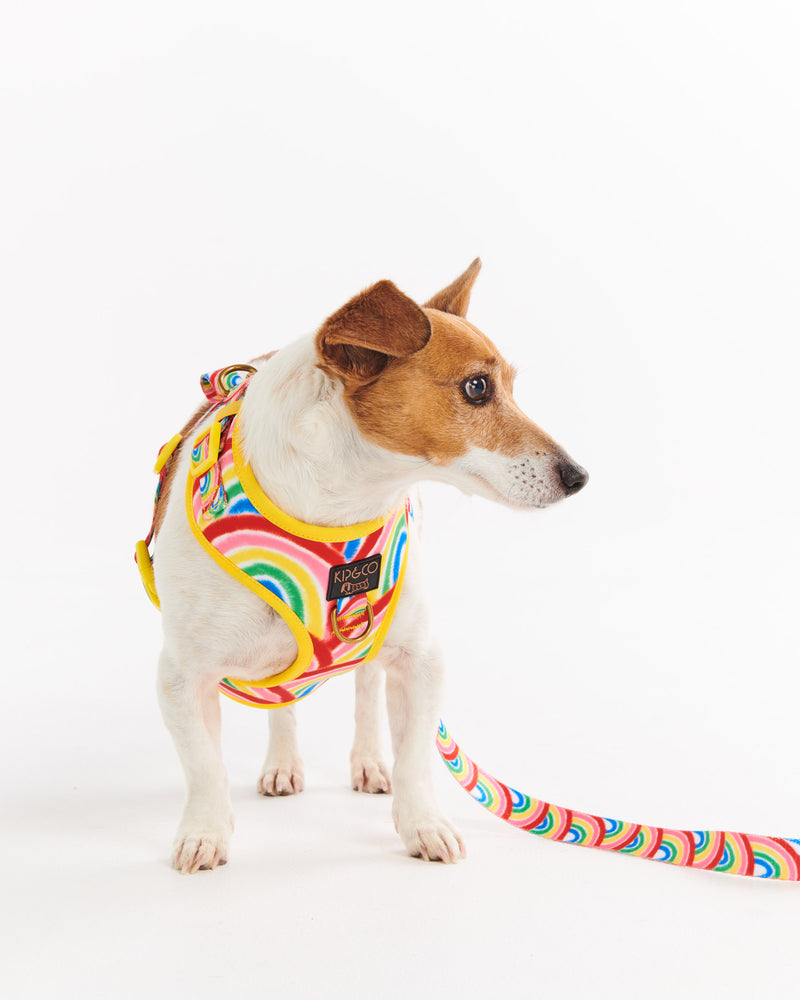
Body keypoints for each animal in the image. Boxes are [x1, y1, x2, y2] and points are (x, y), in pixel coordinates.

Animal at [147, 260, 588, 876]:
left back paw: (367, 761)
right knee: (281, 702)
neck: (339, 509)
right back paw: (282, 762)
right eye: (478, 388)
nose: (578, 476)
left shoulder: (421, 658)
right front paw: (205, 833)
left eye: (512, 386)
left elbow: (415, 760)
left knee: (365, 686)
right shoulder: (182, 677)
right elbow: (204, 768)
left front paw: (423, 824)